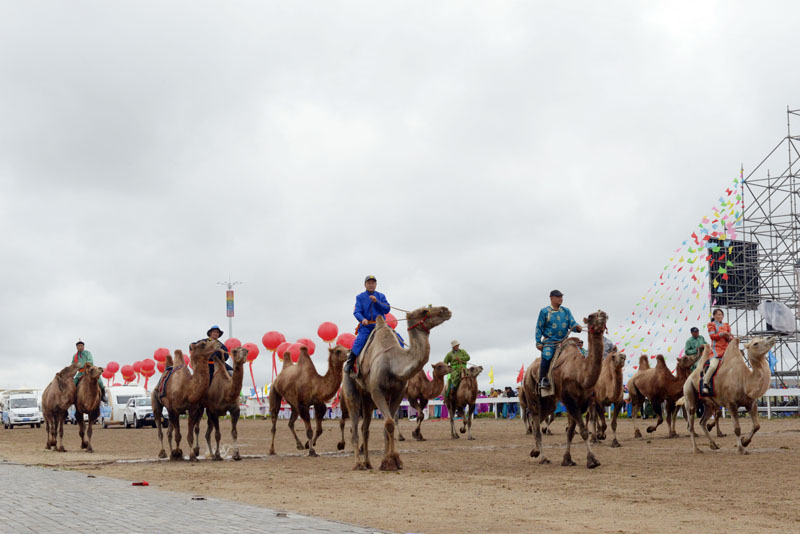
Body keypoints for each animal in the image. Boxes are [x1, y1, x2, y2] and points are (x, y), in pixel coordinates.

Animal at [340, 306, 450, 474]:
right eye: (424, 311)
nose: (446, 310)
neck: (393, 363)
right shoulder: (377, 391)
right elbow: (390, 423)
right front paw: (391, 461)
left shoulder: (398, 394)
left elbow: (387, 426)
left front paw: (388, 461)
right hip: (351, 391)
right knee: (354, 427)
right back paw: (358, 464)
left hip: (367, 398)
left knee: (365, 429)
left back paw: (368, 463)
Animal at [528, 312, 608, 472]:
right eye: (591, 316)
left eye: (602, 314)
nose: (603, 314)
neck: (580, 373)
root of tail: (527, 371)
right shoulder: (569, 399)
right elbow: (583, 431)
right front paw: (592, 460)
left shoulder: (583, 401)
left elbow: (571, 432)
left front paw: (567, 459)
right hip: (532, 396)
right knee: (537, 425)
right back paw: (543, 458)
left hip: (549, 402)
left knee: (537, 422)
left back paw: (535, 451)